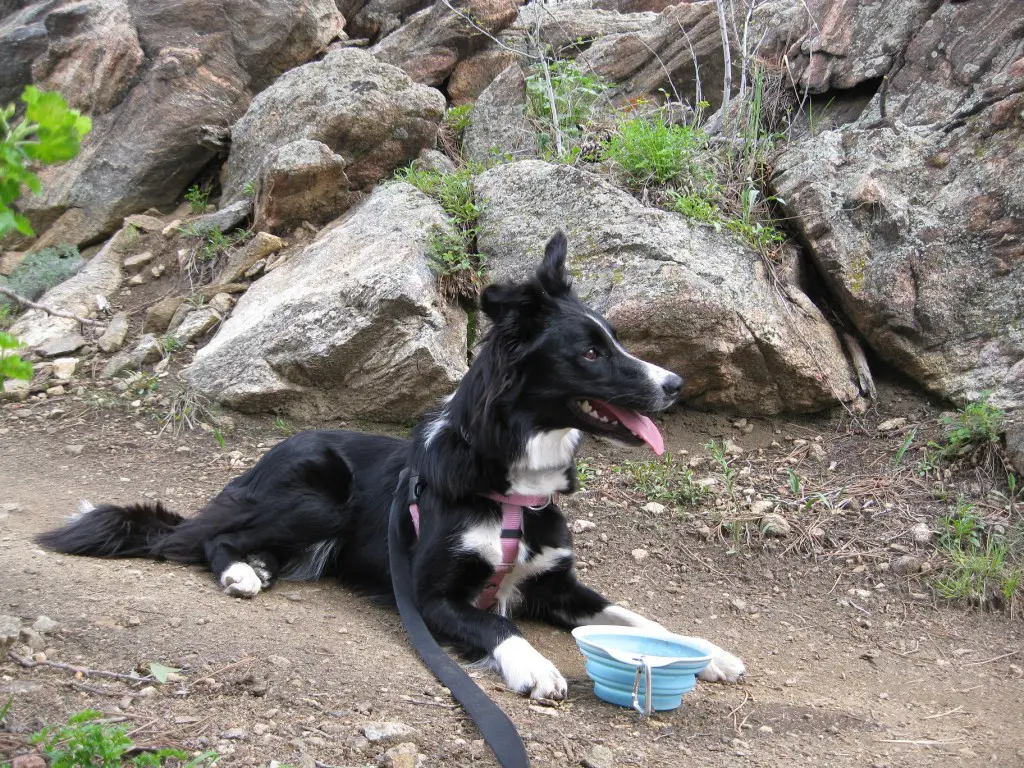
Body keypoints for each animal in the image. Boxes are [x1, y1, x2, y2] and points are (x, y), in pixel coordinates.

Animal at [37, 231, 745, 700]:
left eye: (614, 341)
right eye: (591, 353)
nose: (675, 384)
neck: (510, 485)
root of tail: (261, 463)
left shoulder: (556, 584)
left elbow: (635, 617)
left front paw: (706, 652)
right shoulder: (431, 595)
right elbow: (495, 620)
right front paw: (533, 665)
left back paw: (260, 566)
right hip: (318, 494)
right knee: (208, 537)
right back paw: (241, 571)